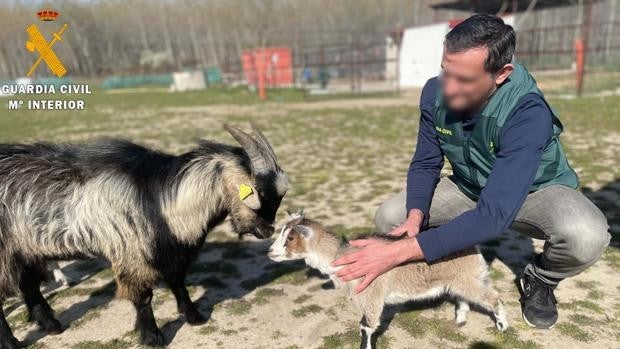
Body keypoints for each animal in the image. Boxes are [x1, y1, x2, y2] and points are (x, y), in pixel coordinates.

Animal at [268, 212, 506, 348]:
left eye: (290, 238)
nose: (270, 252)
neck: (339, 257)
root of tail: (473, 246)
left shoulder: (371, 296)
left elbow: (366, 326)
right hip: (460, 280)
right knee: (464, 295)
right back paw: (460, 318)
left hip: (469, 279)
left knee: (494, 298)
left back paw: (502, 326)